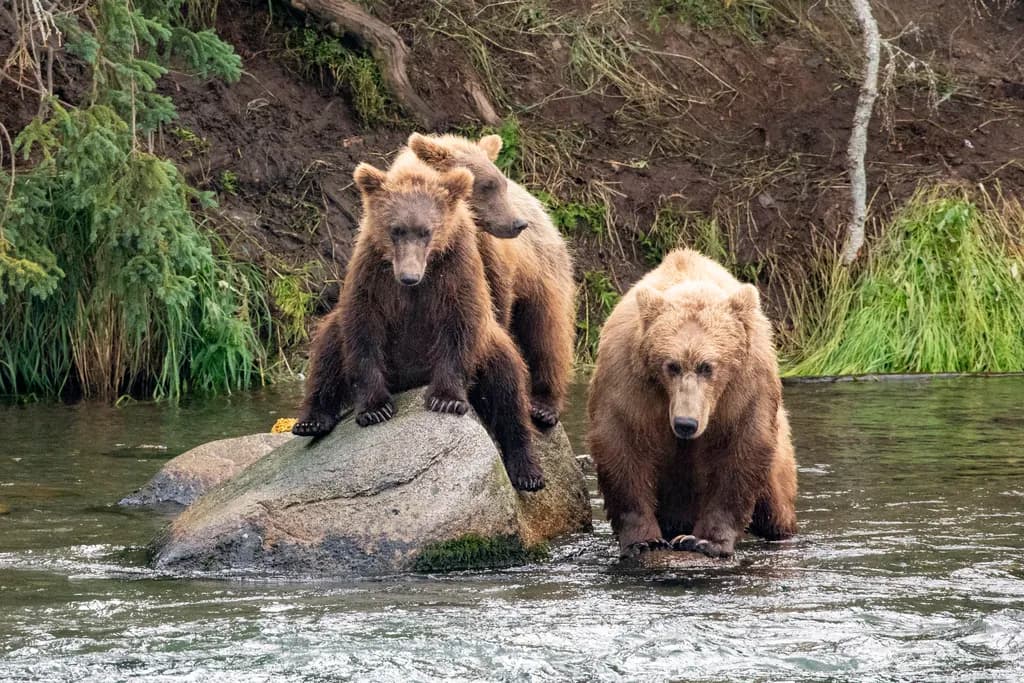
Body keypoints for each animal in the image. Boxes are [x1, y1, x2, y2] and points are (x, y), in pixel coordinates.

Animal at [293, 156, 544, 492]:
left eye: (426, 231)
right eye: (396, 229)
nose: (409, 276)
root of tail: (410, 382)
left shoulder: (456, 269)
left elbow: (459, 325)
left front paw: (446, 400)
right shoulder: (372, 274)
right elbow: (363, 330)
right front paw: (376, 409)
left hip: (492, 344)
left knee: (508, 389)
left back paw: (528, 471)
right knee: (329, 346)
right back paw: (312, 419)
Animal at [402, 132, 576, 429]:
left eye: (501, 182)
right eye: (486, 185)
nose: (518, 223)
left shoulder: (490, 257)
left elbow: (495, 302)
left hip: (545, 271)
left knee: (548, 331)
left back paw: (545, 405)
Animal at [586, 248, 797, 558]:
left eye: (707, 367)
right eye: (671, 365)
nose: (686, 423)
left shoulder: (744, 388)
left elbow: (740, 451)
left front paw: (704, 541)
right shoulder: (628, 380)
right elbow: (622, 445)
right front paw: (644, 541)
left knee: (775, 505)